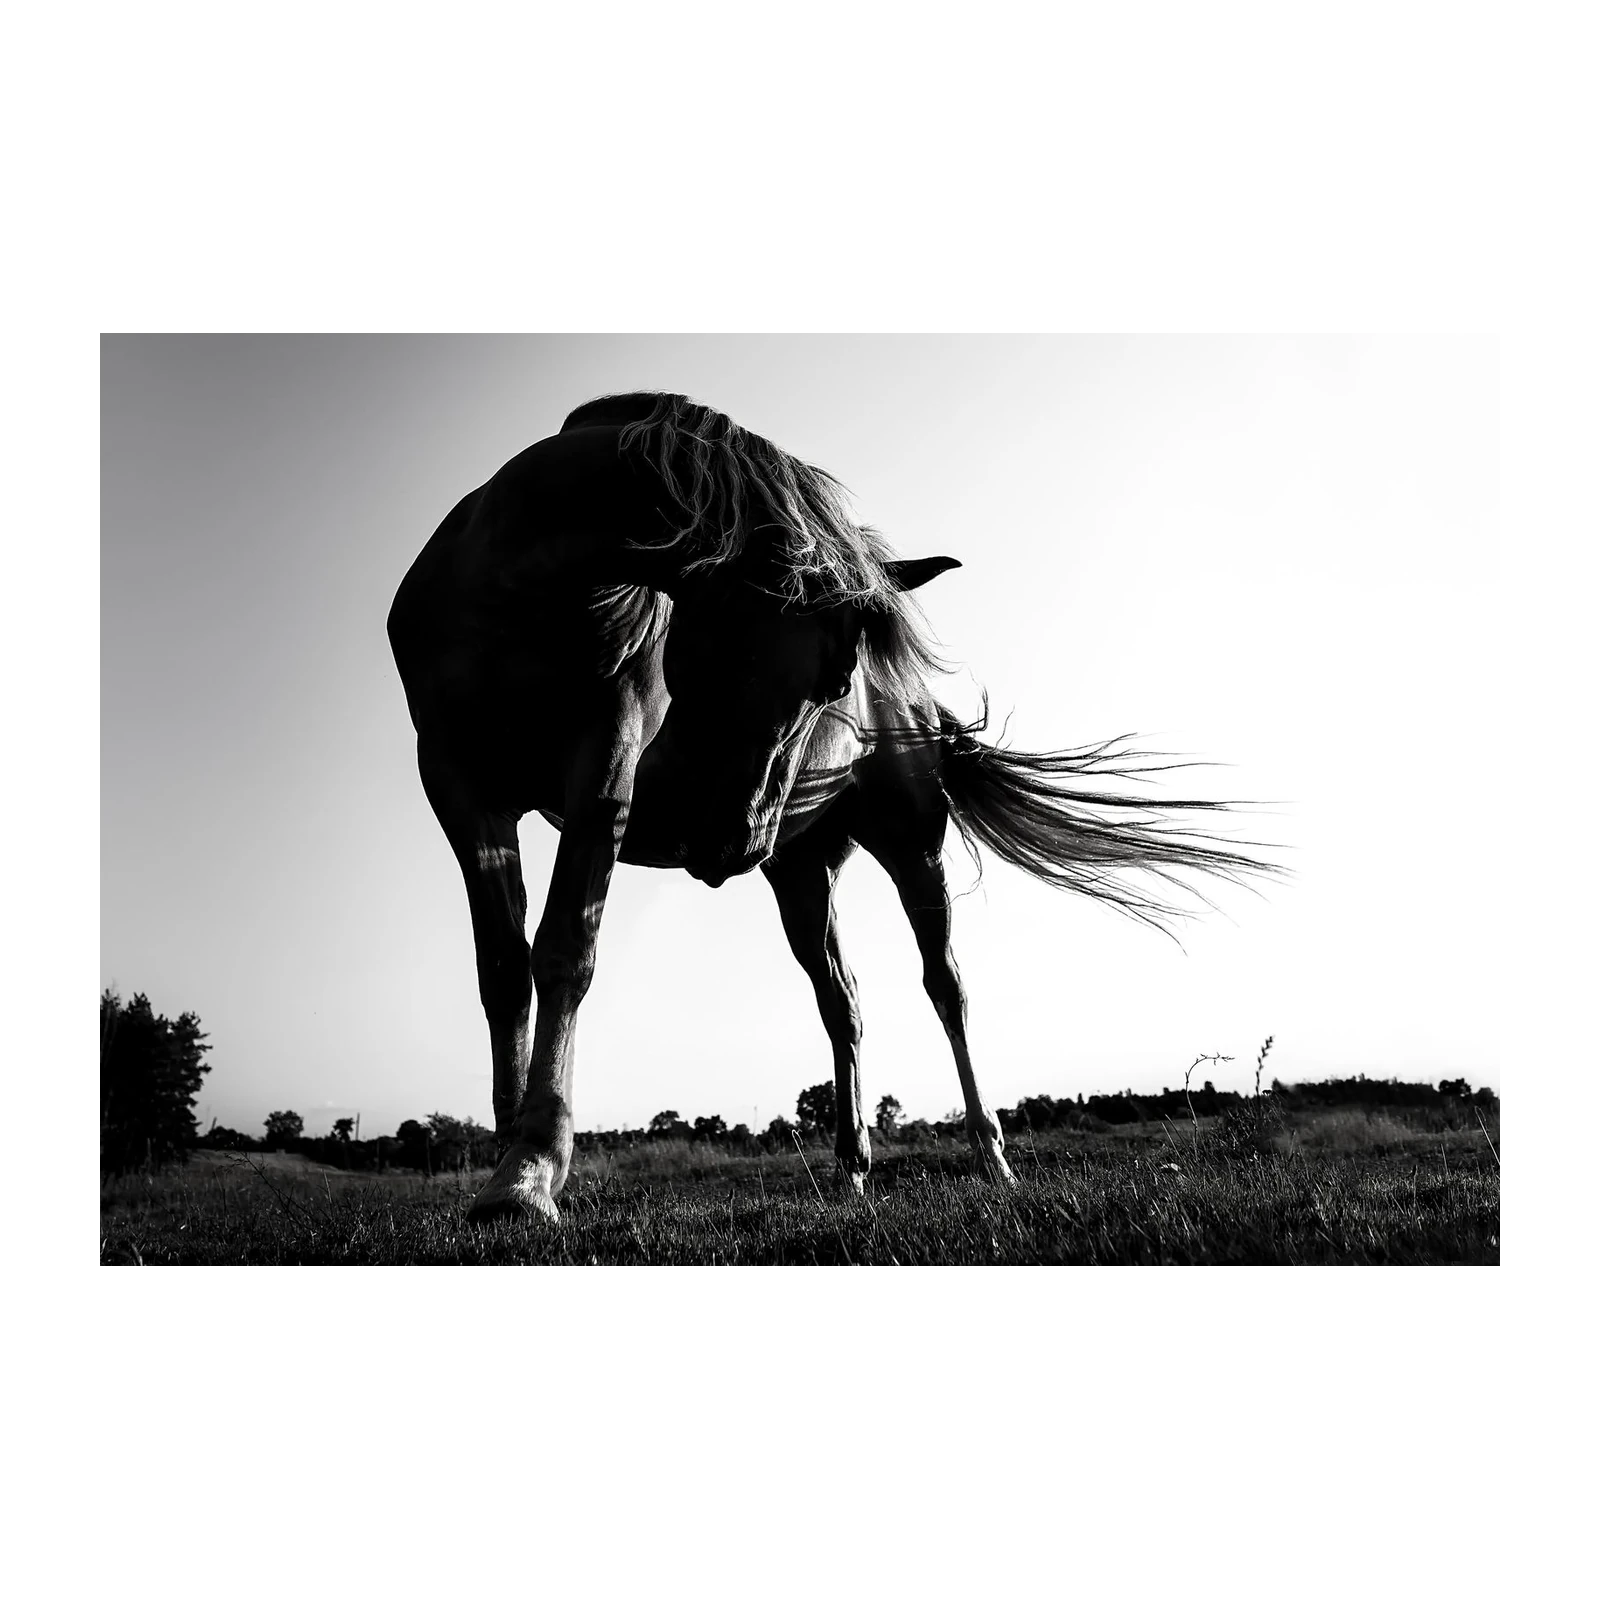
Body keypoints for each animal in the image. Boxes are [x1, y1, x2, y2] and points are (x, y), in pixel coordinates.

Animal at [388, 392, 1279, 1221]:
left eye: (833, 683)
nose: (728, 843)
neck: (522, 591)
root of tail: (918, 707)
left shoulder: (602, 765)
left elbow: (565, 950)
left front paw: (534, 1173)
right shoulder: (457, 784)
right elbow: (503, 969)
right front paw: (508, 1158)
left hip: (912, 847)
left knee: (946, 985)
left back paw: (991, 1159)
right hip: (803, 872)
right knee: (841, 1004)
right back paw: (851, 1169)